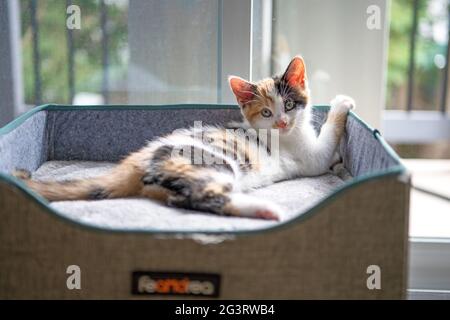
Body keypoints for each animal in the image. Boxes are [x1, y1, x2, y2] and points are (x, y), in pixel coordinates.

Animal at [14, 56, 356, 220]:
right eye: (267, 113)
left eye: (288, 105)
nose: (283, 122)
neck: (291, 133)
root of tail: (135, 163)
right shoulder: (309, 157)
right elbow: (325, 143)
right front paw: (342, 103)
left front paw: (340, 162)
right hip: (213, 166)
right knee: (201, 197)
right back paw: (264, 210)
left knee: (178, 198)